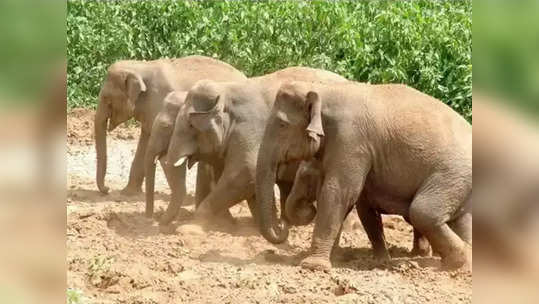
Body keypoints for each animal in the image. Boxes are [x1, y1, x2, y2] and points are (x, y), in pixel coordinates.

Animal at [96, 55, 248, 195]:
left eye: (107, 99)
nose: (107, 189)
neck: (141, 66)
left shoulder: (159, 100)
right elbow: (145, 142)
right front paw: (127, 193)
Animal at [167, 67, 348, 227]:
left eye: (191, 125)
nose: (163, 224)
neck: (226, 89)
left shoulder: (249, 130)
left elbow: (245, 172)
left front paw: (192, 225)